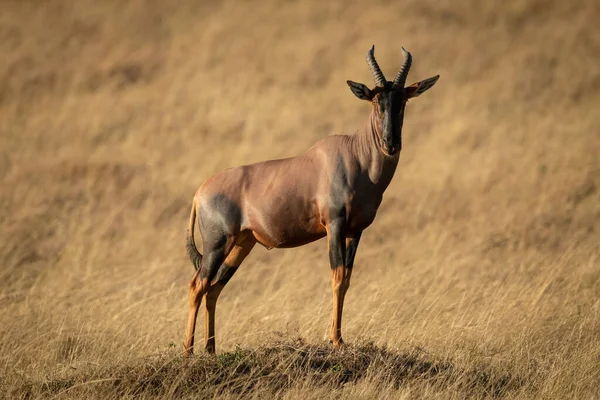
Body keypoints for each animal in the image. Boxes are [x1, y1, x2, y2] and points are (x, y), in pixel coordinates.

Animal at [184, 45, 440, 354]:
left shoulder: (356, 231)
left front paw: (338, 337)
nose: (391, 144)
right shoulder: (335, 224)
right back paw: (188, 350)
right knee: (197, 285)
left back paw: (210, 349)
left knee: (214, 287)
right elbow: (337, 276)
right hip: (217, 243)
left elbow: (347, 279)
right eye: (375, 101)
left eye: (403, 101)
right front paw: (336, 339)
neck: (356, 155)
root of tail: (199, 193)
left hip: (242, 244)